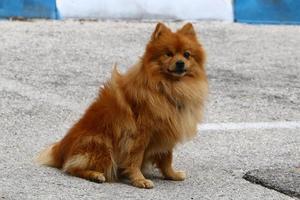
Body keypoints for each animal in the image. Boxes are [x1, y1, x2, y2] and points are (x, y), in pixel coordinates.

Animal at [36, 22, 207, 189]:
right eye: (168, 54)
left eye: (187, 54)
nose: (180, 63)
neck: (167, 88)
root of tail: (60, 149)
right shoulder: (139, 135)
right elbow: (135, 159)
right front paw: (139, 180)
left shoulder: (167, 130)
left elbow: (167, 158)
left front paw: (172, 175)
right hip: (100, 143)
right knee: (71, 168)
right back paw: (95, 175)